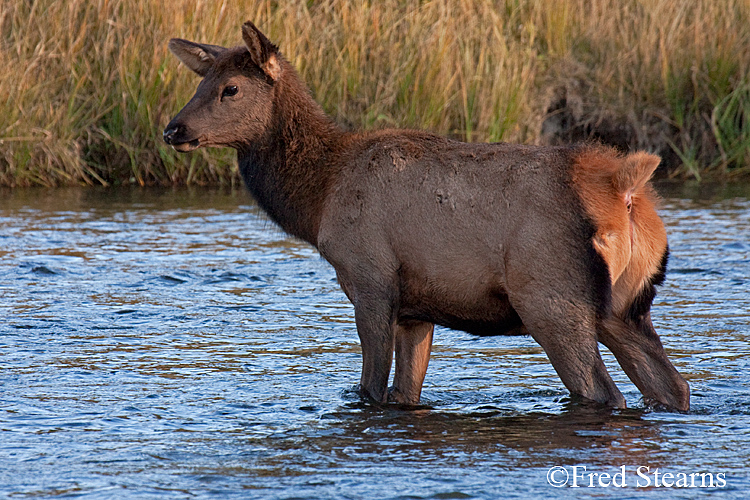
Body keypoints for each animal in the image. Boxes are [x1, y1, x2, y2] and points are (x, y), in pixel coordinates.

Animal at [164, 21, 692, 410]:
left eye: (231, 88)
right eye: (200, 82)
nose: (173, 129)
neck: (317, 200)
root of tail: (624, 187)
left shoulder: (370, 278)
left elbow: (371, 389)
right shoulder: (417, 308)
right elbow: (405, 392)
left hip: (552, 297)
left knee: (602, 392)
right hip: (627, 306)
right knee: (673, 385)